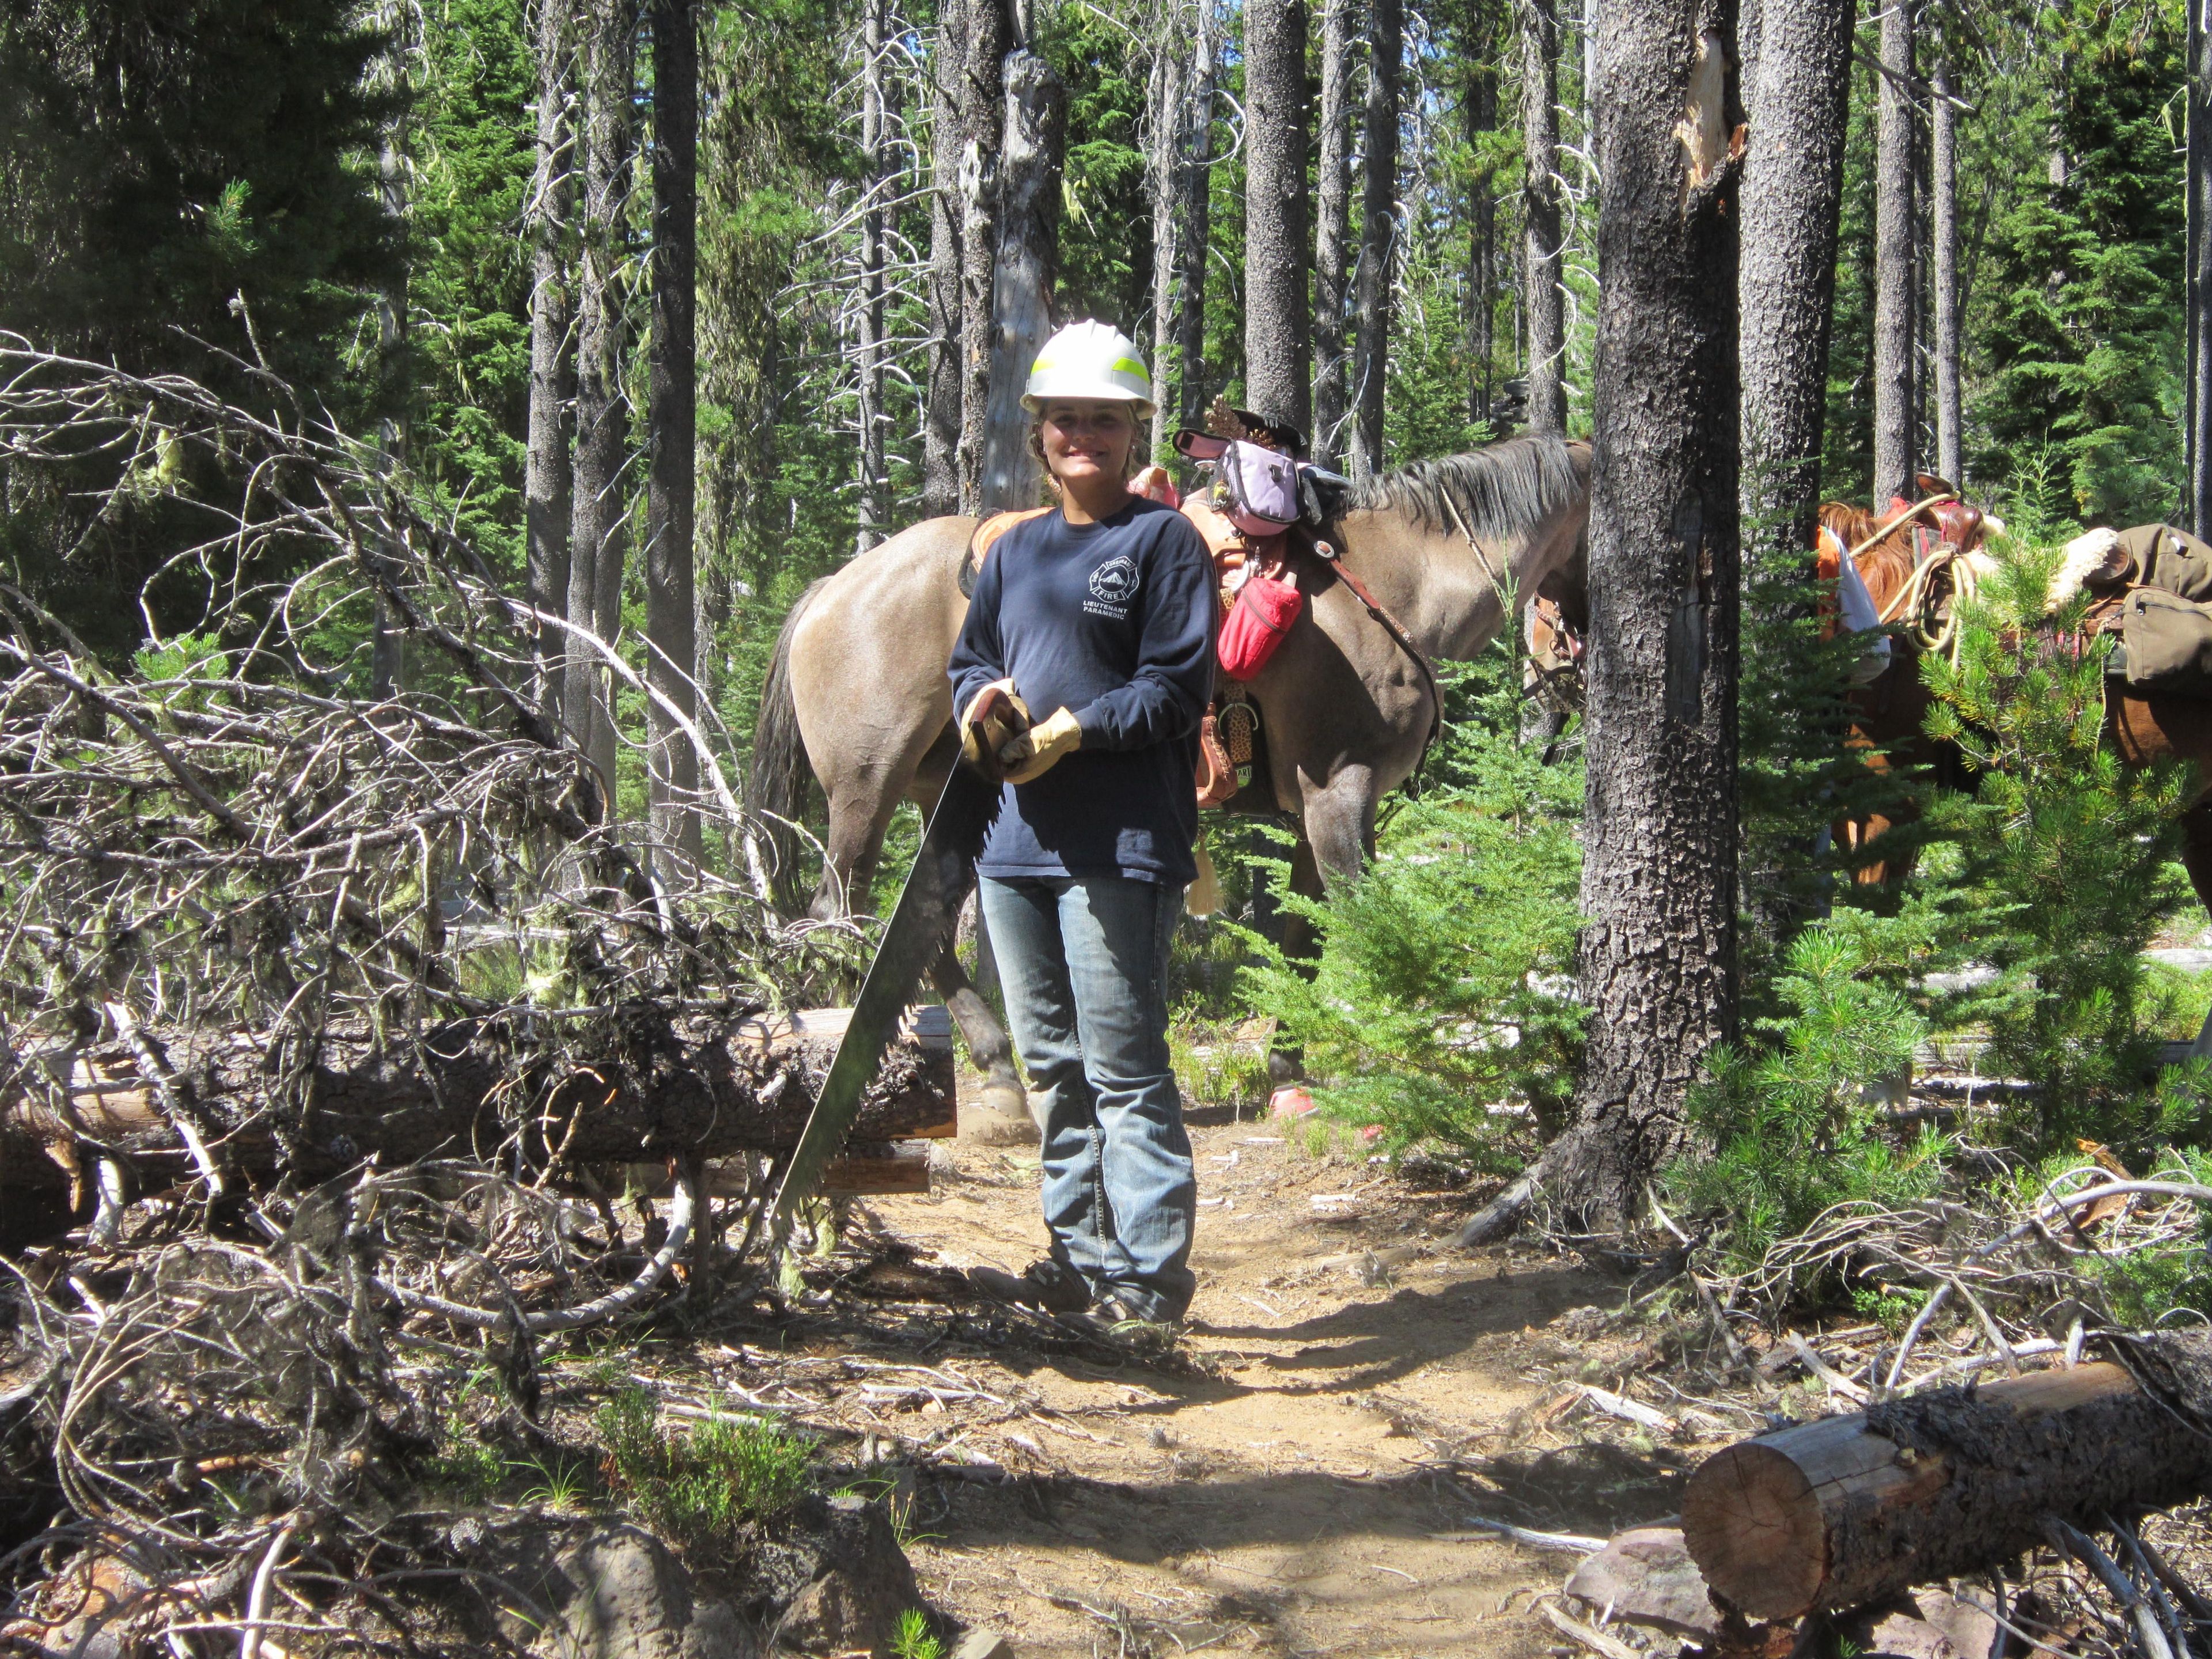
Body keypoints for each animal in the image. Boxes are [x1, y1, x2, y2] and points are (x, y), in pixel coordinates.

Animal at [752, 435, 1584, 1141]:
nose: (1562, 683)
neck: (1390, 582)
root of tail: (832, 588)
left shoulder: (1320, 812)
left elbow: (1304, 943)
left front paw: (1290, 1073)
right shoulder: (1339, 795)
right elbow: (1369, 931)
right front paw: (1405, 1058)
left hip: (940, 791)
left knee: (914, 926)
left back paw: (999, 1074)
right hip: (867, 786)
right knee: (841, 912)